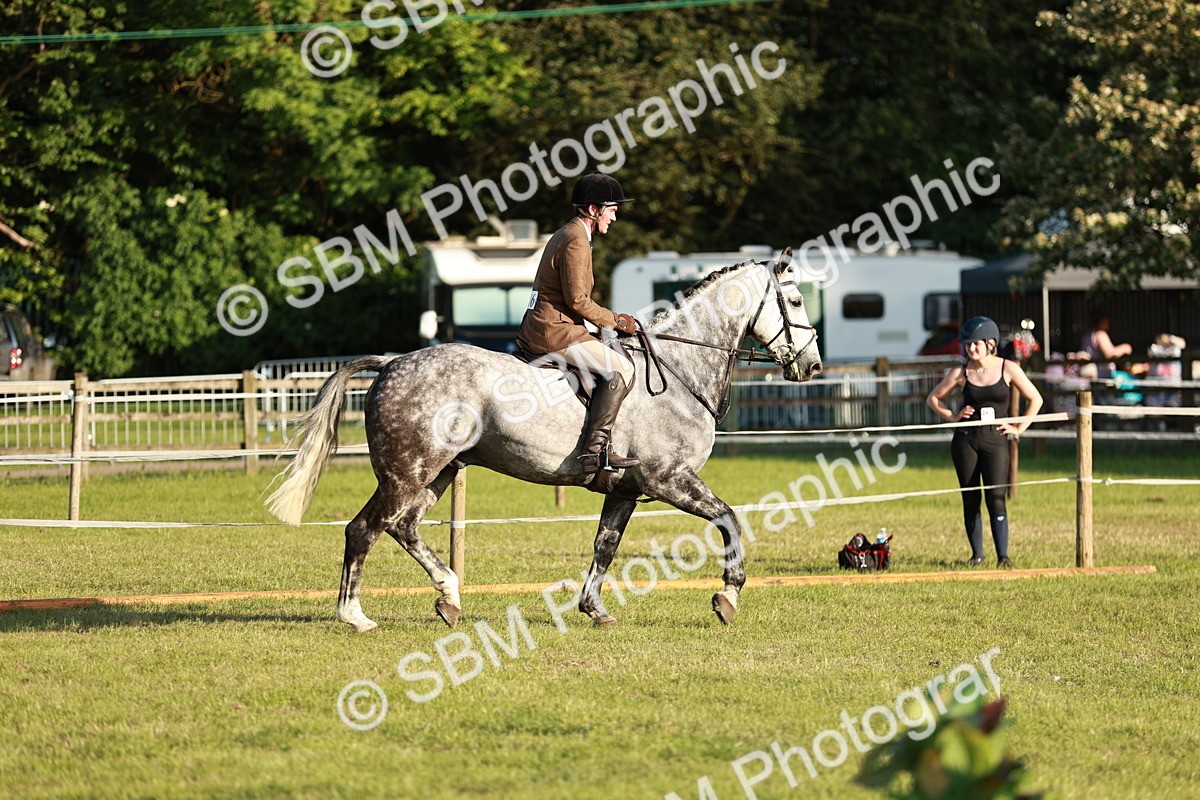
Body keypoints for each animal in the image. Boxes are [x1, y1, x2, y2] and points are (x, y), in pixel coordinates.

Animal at [266, 247, 822, 632]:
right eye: (795, 300)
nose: (813, 366)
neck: (679, 370)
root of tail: (392, 362)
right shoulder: (669, 480)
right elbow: (729, 518)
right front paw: (728, 597)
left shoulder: (626, 489)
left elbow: (605, 546)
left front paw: (594, 609)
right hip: (408, 471)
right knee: (363, 530)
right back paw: (356, 616)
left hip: (437, 471)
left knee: (403, 527)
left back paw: (449, 597)